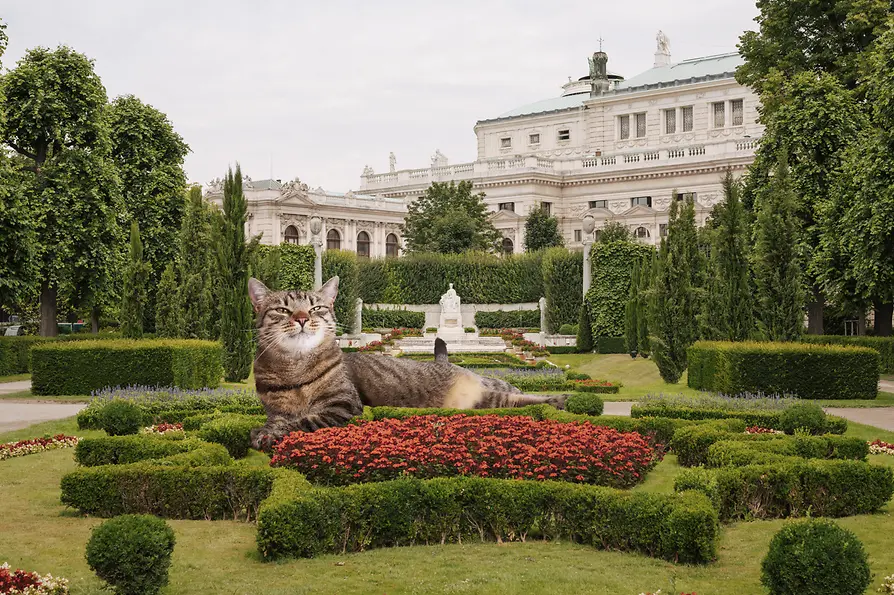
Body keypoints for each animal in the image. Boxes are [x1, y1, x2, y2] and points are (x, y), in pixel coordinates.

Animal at [248, 278, 564, 450]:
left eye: (316, 308)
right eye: (282, 310)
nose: (302, 318)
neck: (295, 367)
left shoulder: (343, 407)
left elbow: (304, 420)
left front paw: (267, 435)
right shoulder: (275, 409)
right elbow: (280, 419)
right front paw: (266, 431)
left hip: (486, 395)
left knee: (519, 395)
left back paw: (560, 399)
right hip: (484, 400)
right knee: (514, 397)